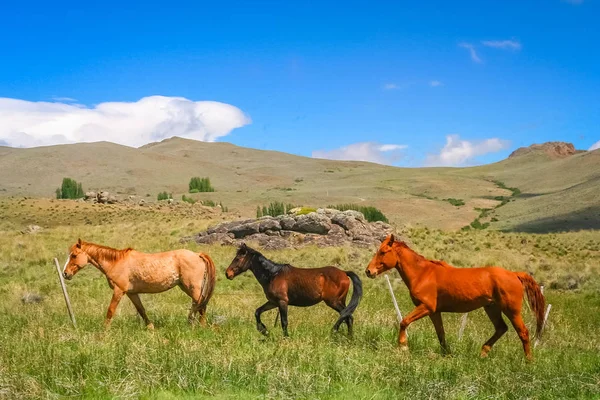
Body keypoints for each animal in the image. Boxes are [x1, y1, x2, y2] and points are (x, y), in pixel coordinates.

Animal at [63, 239, 217, 330]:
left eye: (74, 255)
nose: (65, 273)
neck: (116, 262)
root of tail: (197, 254)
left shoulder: (119, 290)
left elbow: (110, 310)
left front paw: (104, 331)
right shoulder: (132, 293)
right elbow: (142, 310)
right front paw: (151, 327)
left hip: (194, 288)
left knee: (201, 306)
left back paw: (201, 326)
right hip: (186, 287)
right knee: (196, 305)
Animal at [227, 242, 364, 336]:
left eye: (238, 259)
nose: (227, 273)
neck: (273, 275)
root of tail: (344, 273)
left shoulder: (282, 302)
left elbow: (284, 322)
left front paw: (285, 337)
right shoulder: (273, 302)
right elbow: (257, 312)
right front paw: (264, 330)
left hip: (333, 302)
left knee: (346, 316)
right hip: (340, 301)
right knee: (348, 317)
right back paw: (349, 337)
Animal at [364, 234, 548, 360]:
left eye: (383, 252)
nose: (368, 271)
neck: (422, 274)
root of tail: (515, 274)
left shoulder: (426, 307)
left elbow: (404, 322)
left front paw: (403, 346)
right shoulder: (434, 312)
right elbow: (441, 333)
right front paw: (446, 354)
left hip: (511, 310)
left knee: (523, 332)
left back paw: (528, 361)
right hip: (491, 308)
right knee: (501, 328)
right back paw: (483, 353)